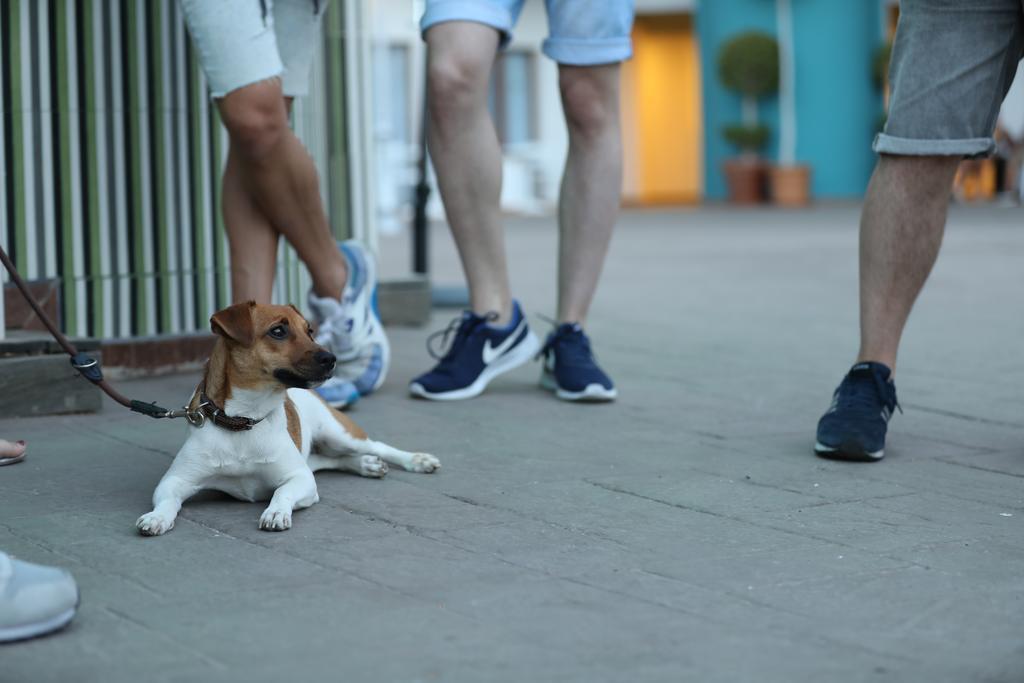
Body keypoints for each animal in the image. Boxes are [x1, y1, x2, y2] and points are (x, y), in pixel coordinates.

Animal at [136, 301, 440, 536]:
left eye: (309, 331)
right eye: (278, 331)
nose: (332, 358)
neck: (244, 420)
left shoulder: (300, 479)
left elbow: (281, 493)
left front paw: (275, 513)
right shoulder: (174, 481)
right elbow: (167, 501)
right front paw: (157, 517)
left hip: (339, 434)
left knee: (377, 446)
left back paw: (415, 460)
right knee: (331, 459)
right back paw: (366, 464)